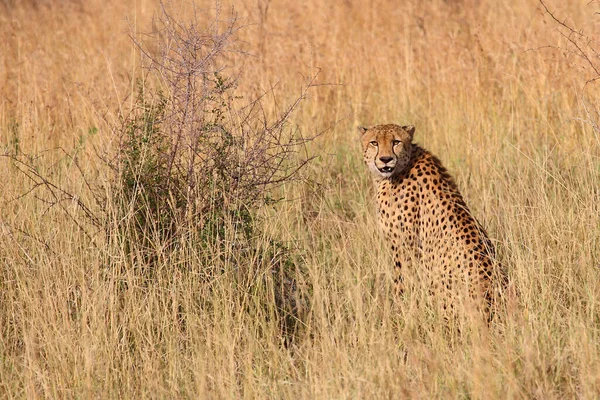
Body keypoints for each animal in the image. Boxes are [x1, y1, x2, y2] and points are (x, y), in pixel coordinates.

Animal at [358, 123, 504, 318]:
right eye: (374, 142)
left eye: (396, 142)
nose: (386, 159)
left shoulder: (405, 247)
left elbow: (401, 282)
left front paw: (399, 310)